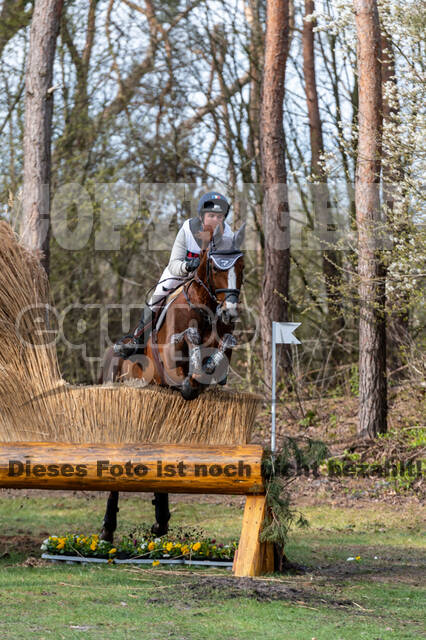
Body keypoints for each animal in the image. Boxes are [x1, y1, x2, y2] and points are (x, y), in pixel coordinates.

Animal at [98, 222, 245, 544]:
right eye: (215, 267)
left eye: (241, 266)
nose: (230, 311)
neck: (205, 309)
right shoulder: (170, 363)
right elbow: (188, 365)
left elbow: (221, 350)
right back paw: (107, 528)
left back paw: (160, 521)